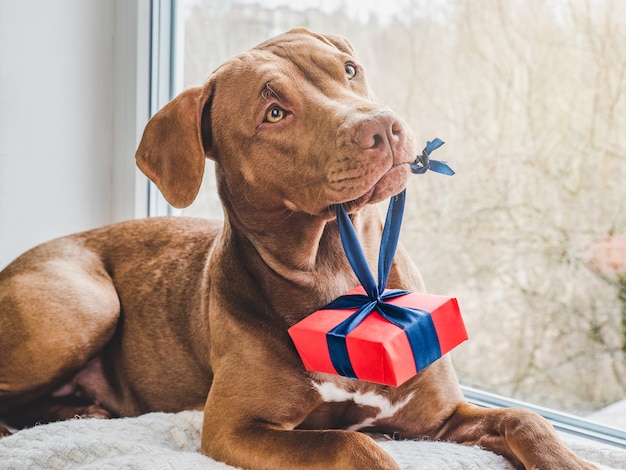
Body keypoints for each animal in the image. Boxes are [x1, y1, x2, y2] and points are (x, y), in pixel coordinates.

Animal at [0, 29, 596, 470]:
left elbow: (525, 419)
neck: (338, 273)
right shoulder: (234, 429)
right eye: (274, 113)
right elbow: (351, 442)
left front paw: (573, 461)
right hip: (87, 304)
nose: (384, 126)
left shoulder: (437, 418)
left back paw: (78, 411)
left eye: (348, 71)